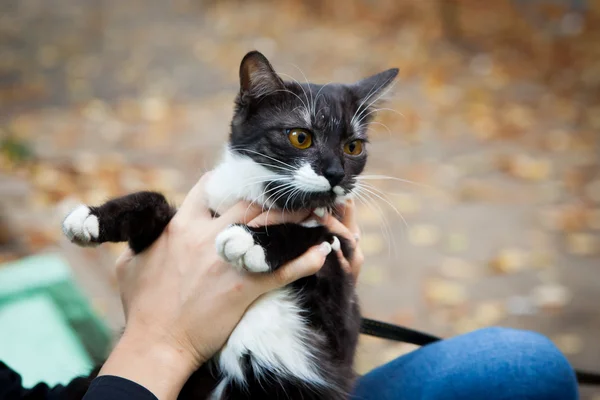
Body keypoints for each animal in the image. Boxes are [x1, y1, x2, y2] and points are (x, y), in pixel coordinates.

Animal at [62, 50, 398, 400]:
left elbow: (318, 233)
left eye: (353, 147)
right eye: (300, 137)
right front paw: (92, 218)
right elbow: (155, 202)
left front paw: (251, 242)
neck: (266, 197)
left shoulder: (339, 313)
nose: (335, 174)